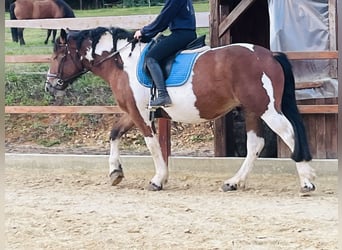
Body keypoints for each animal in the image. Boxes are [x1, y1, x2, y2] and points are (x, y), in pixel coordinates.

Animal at [44, 26, 316, 192]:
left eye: (57, 56)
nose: (50, 86)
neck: (123, 63)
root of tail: (268, 55)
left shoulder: (140, 115)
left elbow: (153, 146)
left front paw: (158, 180)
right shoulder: (133, 112)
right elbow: (114, 133)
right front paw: (115, 172)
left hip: (266, 108)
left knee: (289, 134)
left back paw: (307, 181)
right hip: (251, 110)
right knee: (255, 145)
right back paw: (233, 182)